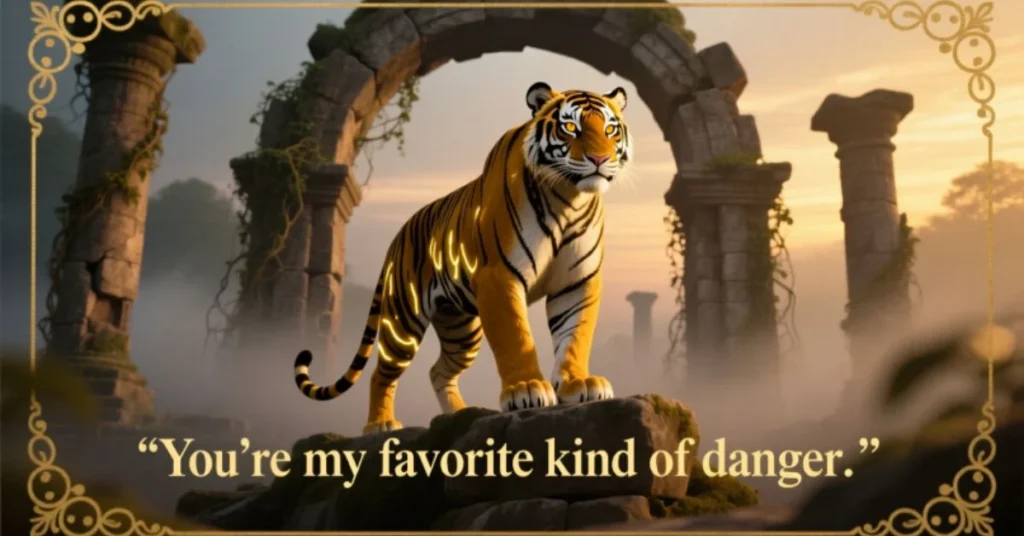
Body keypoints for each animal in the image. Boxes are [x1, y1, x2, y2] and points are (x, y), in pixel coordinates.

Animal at [293, 81, 634, 435]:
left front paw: (578, 383)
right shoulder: (500, 276)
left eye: (610, 129)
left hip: (461, 330)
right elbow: (516, 336)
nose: (600, 159)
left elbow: (575, 335)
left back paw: (459, 414)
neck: (569, 197)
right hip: (404, 320)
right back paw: (381, 424)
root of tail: (397, 238)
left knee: (437, 371)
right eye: (570, 128)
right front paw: (526, 389)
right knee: (381, 373)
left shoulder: (578, 280)